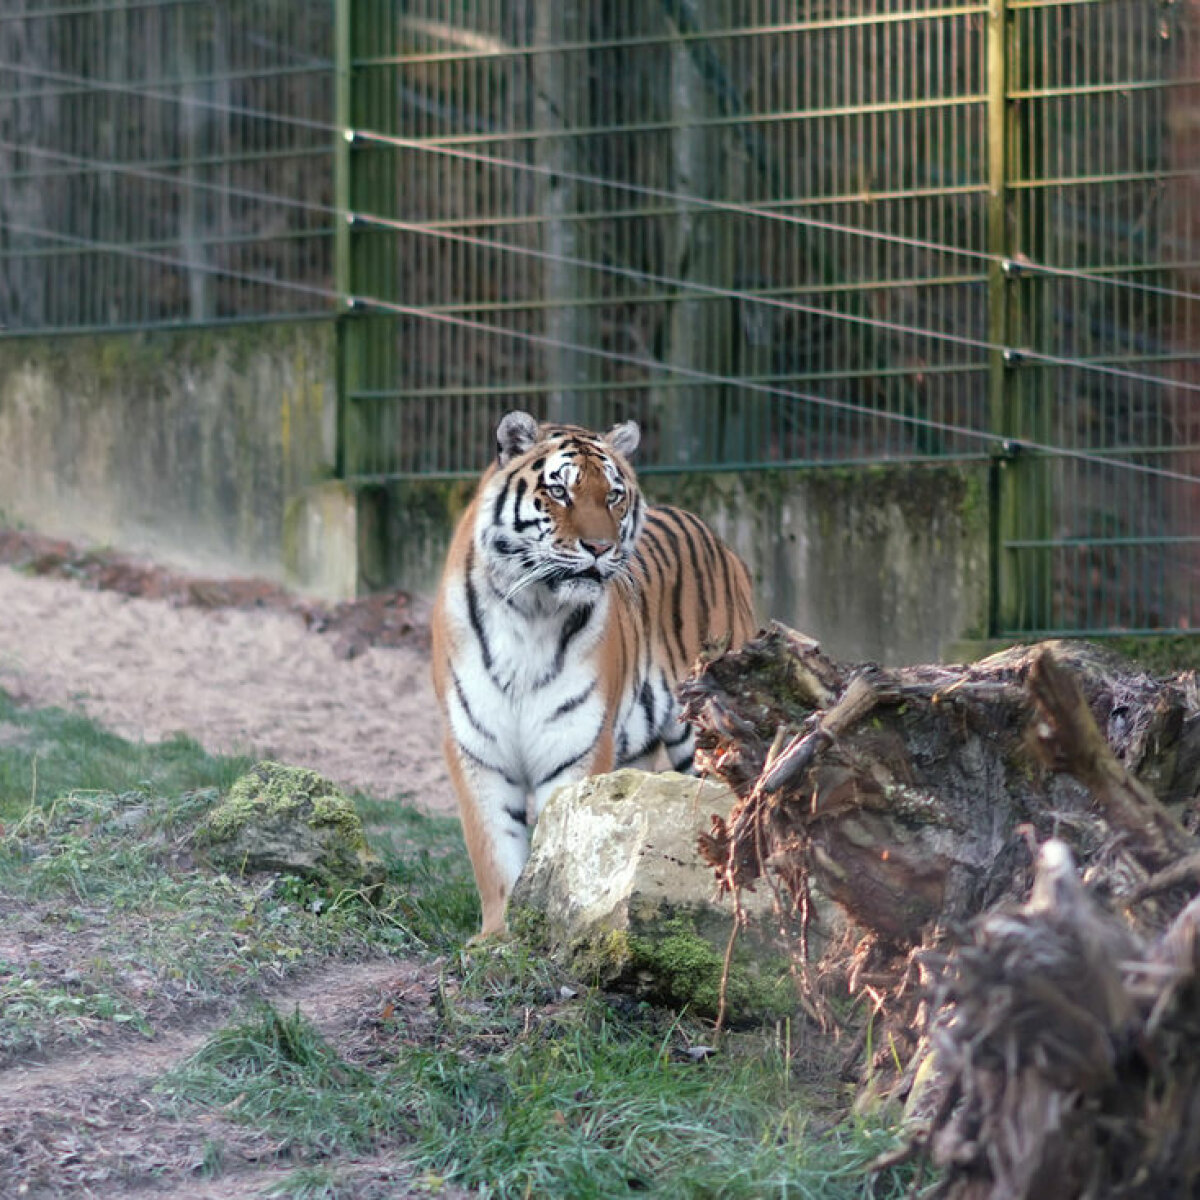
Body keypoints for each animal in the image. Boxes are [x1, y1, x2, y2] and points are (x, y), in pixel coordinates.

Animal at [429, 412, 748, 936]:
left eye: (613, 495)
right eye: (560, 491)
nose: (600, 548)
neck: (530, 611)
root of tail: (721, 541)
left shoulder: (576, 744)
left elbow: (563, 846)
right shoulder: (477, 747)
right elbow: (493, 852)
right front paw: (499, 936)